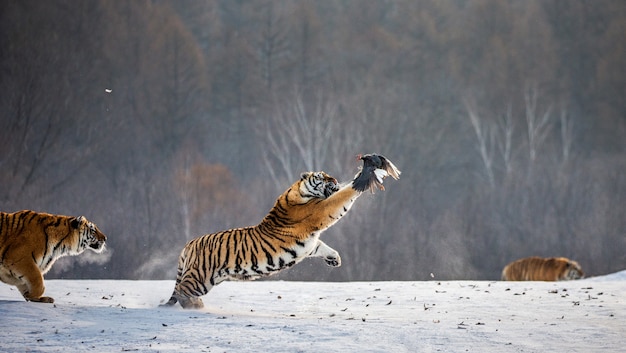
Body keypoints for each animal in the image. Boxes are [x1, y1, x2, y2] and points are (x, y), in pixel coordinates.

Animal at [162, 153, 400, 306]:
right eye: (322, 176)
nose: (334, 178)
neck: (300, 192)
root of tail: (190, 243)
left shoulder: (310, 243)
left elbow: (322, 246)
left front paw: (335, 259)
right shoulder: (322, 211)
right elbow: (342, 197)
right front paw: (362, 178)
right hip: (200, 277)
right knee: (182, 291)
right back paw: (195, 306)